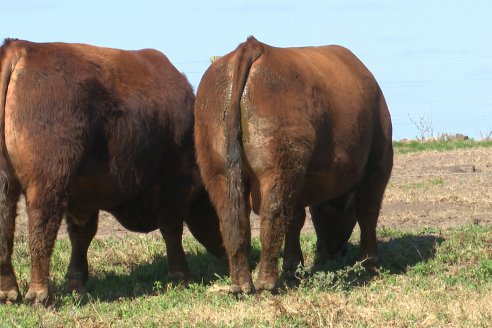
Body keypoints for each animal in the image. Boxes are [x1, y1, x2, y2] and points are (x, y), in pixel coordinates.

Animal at [0, 39, 225, 306]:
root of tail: (21, 48)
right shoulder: (175, 182)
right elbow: (172, 229)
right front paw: (181, 276)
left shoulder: (82, 196)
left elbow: (81, 235)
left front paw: (76, 283)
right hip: (46, 185)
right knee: (40, 228)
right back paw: (39, 294)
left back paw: (8, 292)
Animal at [194, 36, 390, 292]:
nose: (330, 251)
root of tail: (253, 46)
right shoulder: (379, 162)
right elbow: (367, 210)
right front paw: (370, 261)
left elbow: (295, 219)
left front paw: (292, 265)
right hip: (278, 167)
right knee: (272, 215)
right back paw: (267, 282)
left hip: (219, 171)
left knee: (232, 220)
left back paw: (241, 284)